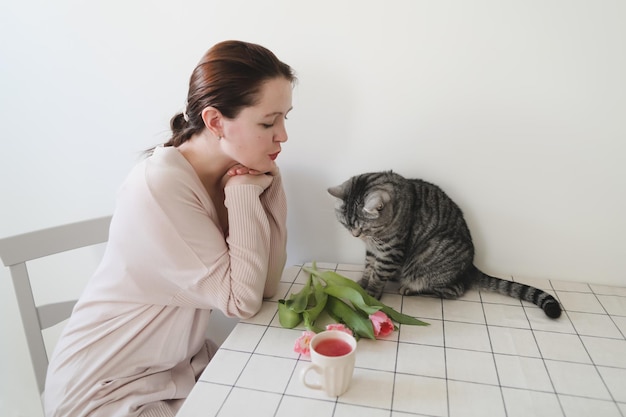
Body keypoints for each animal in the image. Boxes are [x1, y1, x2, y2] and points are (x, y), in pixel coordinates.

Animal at [326, 171, 560, 316]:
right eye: (346, 225)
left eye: (363, 227)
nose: (356, 235)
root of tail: (471, 267)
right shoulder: (373, 251)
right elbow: (368, 268)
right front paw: (362, 283)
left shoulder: (390, 252)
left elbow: (378, 275)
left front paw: (370, 294)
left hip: (426, 259)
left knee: (453, 290)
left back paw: (410, 289)